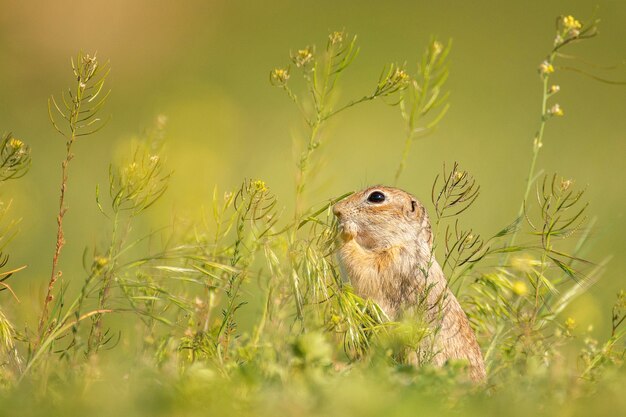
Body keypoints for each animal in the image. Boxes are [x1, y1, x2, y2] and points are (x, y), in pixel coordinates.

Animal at [334, 185, 486, 380]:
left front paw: (345, 231)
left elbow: (363, 268)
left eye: (377, 197)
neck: (404, 241)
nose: (336, 210)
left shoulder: (393, 262)